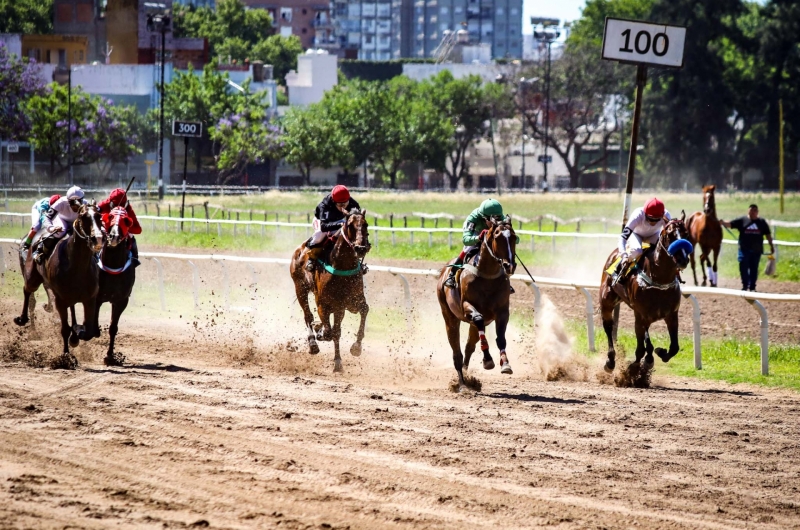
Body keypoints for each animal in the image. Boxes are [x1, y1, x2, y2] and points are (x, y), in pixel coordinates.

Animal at [13, 202, 104, 368]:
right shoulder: (60, 300)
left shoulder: (90, 299)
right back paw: (22, 319)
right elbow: (64, 329)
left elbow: (88, 331)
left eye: (99, 216)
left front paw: (77, 335)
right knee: (28, 291)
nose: (98, 239)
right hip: (32, 277)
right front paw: (66, 358)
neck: (77, 265)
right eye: (83, 216)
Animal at [93, 205, 138, 364]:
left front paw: (110, 356)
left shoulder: (121, 300)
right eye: (110, 216)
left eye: (126, 220)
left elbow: (113, 328)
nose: (114, 236)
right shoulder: (97, 297)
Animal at [290, 206, 372, 372]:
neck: (342, 266)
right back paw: (313, 343)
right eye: (350, 225)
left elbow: (363, 310)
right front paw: (320, 332)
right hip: (300, 288)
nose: (361, 248)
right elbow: (329, 331)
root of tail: (299, 250)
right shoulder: (323, 303)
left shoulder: (350, 302)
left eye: (366, 224)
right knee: (308, 316)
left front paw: (356, 348)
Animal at [438, 216, 520, 392]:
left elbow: (500, 338)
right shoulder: (468, 307)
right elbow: (478, 318)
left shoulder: (502, 311)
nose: (509, 265)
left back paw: (467, 376)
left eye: (514, 237)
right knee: (457, 352)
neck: (487, 275)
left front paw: (505, 364)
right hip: (450, 317)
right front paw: (488, 360)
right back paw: (462, 384)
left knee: (469, 347)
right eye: (497, 236)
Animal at [600, 212, 692, 374]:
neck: (659, 280)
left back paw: (649, 357)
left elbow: (674, 347)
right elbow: (639, 350)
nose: (683, 260)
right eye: (670, 234)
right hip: (607, 301)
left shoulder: (672, 315)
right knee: (608, 327)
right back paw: (610, 361)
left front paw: (660, 352)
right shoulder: (640, 315)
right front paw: (631, 370)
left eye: (686, 233)